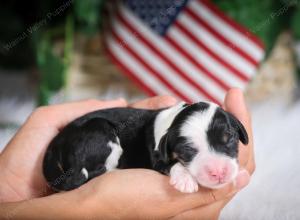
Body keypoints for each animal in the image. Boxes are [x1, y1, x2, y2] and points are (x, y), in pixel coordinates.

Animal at [42, 101, 248, 192]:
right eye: (187, 151)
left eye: (229, 138)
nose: (219, 173)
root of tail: (55, 144)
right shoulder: (157, 158)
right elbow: (171, 164)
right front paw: (185, 180)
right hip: (101, 131)